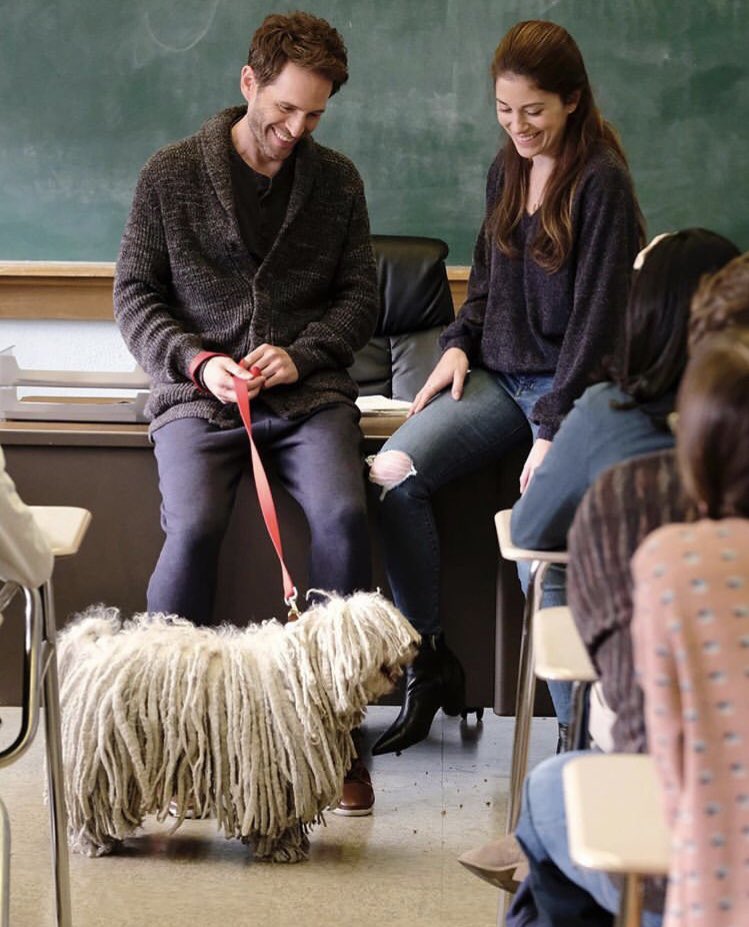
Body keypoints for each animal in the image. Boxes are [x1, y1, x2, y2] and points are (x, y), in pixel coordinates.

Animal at [56, 591, 419, 862]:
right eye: (379, 629)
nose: (414, 644)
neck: (303, 677)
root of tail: (94, 650)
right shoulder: (273, 768)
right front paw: (281, 847)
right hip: (102, 755)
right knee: (92, 802)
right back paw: (96, 841)